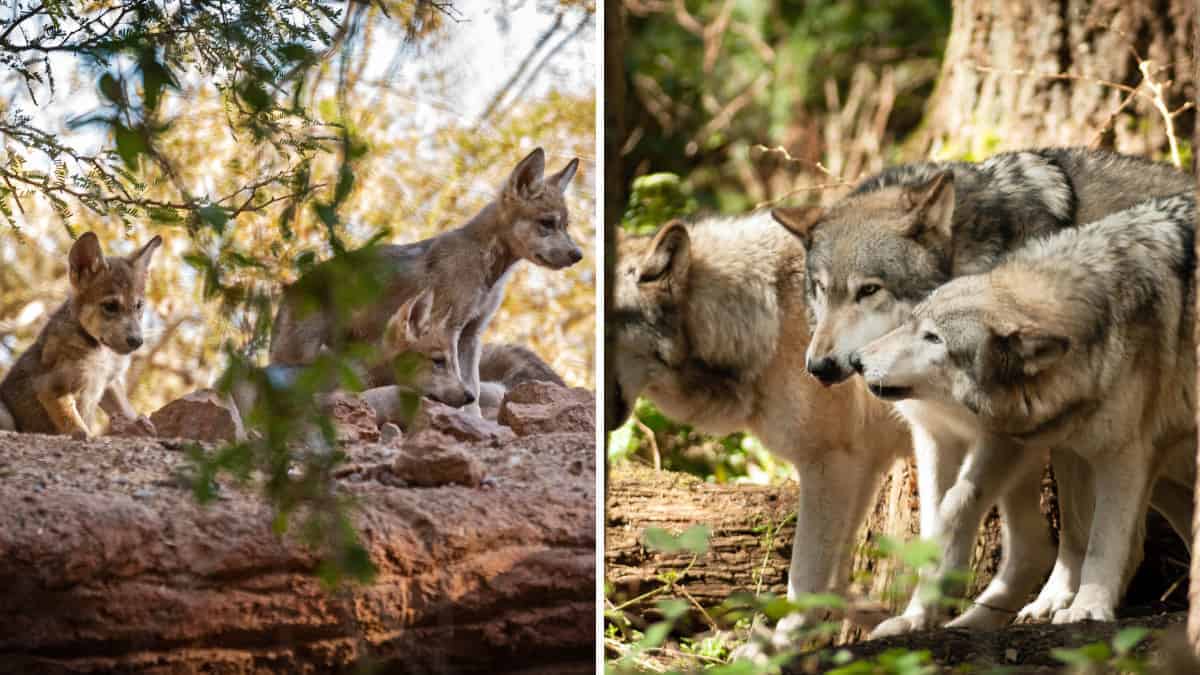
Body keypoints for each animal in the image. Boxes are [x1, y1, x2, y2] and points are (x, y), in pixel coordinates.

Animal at [0, 230, 160, 437]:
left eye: (139, 306)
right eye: (110, 306)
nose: (136, 341)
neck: (102, 354)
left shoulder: (108, 383)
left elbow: (126, 410)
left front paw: (139, 427)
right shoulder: (52, 389)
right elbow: (78, 429)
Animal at [270, 145, 578, 415]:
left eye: (565, 225)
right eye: (547, 223)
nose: (578, 255)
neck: (485, 270)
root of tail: (289, 292)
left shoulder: (472, 334)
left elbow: (474, 392)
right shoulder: (449, 328)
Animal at [772, 148, 1195, 634]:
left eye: (869, 290)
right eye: (822, 289)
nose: (819, 367)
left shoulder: (1005, 432)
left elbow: (959, 507)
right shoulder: (935, 435)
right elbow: (935, 519)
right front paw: (918, 615)